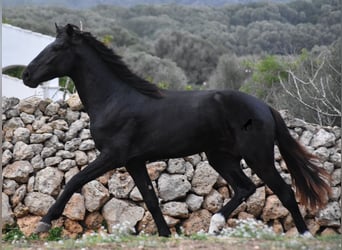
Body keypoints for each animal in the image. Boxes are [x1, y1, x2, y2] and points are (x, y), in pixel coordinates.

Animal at [22, 24, 332, 237]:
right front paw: (164, 234)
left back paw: (304, 236)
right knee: (246, 188)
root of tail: (264, 107)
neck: (114, 99)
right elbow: (150, 199)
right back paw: (215, 225)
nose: (26, 75)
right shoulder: (134, 161)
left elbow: (74, 181)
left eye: (56, 49)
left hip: (258, 156)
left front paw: (44, 223)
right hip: (221, 157)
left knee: (284, 192)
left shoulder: (112, 156)